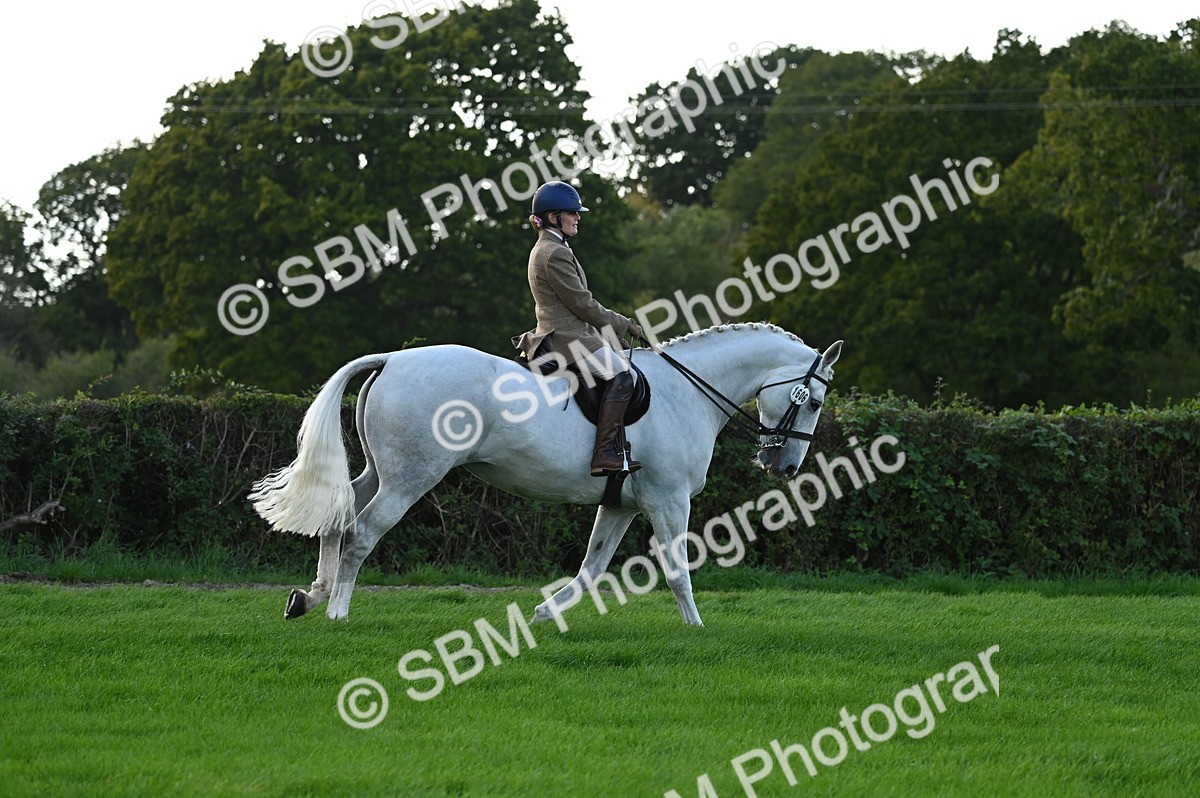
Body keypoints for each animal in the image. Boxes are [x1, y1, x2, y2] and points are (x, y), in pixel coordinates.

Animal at [249, 322, 842, 626]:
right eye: (813, 401)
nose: (785, 465)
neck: (687, 393)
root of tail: (392, 359)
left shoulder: (622, 504)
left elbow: (590, 570)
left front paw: (540, 614)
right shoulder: (669, 500)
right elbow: (677, 569)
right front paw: (696, 631)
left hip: (381, 470)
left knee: (339, 515)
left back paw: (311, 597)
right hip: (410, 477)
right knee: (361, 532)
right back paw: (338, 612)